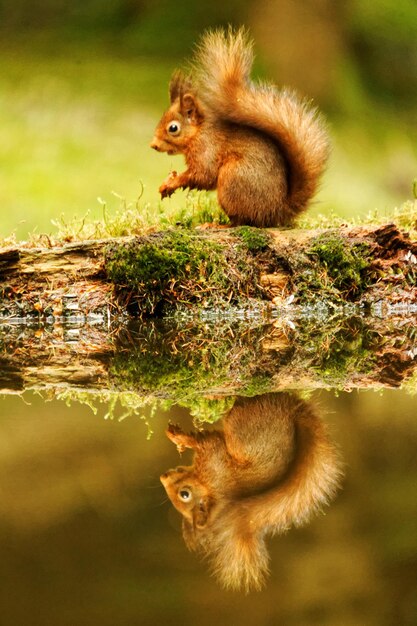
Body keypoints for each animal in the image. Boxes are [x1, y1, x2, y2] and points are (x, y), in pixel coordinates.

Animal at [150, 28, 328, 227]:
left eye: (173, 128)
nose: (153, 145)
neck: (199, 133)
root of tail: (276, 212)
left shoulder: (206, 150)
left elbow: (203, 175)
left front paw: (173, 182)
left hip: (232, 179)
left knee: (241, 221)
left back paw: (216, 225)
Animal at [160, 392, 342, 592]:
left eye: (184, 494)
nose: (163, 476)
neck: (208, 485)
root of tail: (291, 414)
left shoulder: (213, 458)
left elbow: (205, 440)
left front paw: (179, 438)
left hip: (242, 424)